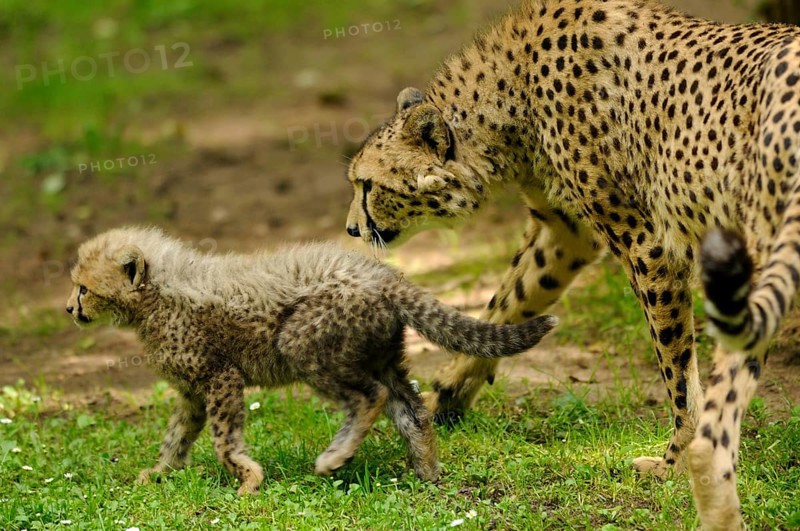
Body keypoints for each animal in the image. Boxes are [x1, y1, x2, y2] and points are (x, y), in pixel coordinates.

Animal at [65, 226, 557, 495]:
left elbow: (224, 441)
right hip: (381, 355)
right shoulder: (192, 392)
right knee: (412, 409)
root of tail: (382, 273)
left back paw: (335, 458)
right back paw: (427, 472)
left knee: (370, 397)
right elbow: (177, 436)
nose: (70, 309)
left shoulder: (221, 377)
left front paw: (248, 480)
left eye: (84, 288)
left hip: (302, 344)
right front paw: (158, 474)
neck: (158, 294)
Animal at [343, 0, 800, 527]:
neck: (510, 90)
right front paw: (446, 396)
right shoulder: (567, 233)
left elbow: (678, 372)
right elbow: (508, 302)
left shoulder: (647, 244)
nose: (351, 229)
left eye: (368, 185)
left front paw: (673, 460)